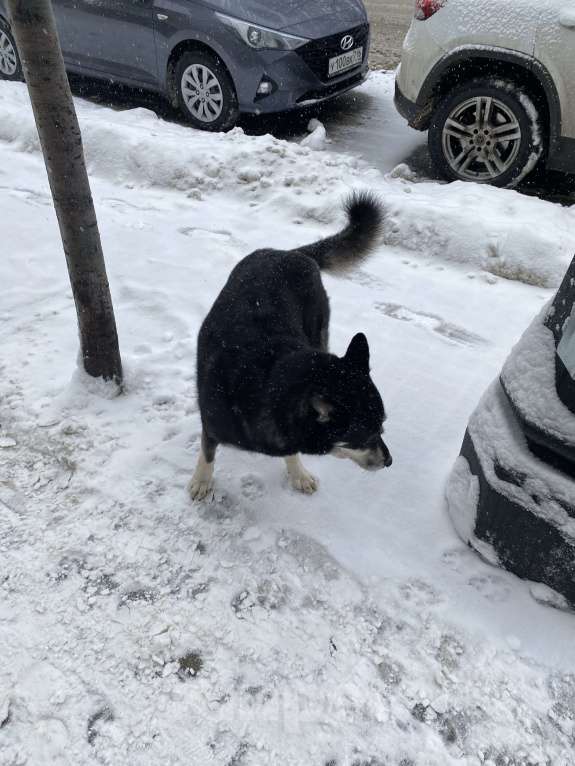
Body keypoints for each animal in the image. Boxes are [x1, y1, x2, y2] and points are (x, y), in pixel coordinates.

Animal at [191, 194, 394, 498]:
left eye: (381, 427)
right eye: (363, 435)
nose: (389, 461)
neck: (264, 380)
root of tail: (292, 253)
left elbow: (291, 450)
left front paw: (297, 473)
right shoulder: (212, 421)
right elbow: (207, 452)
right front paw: (202, 480)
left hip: (319, 327)